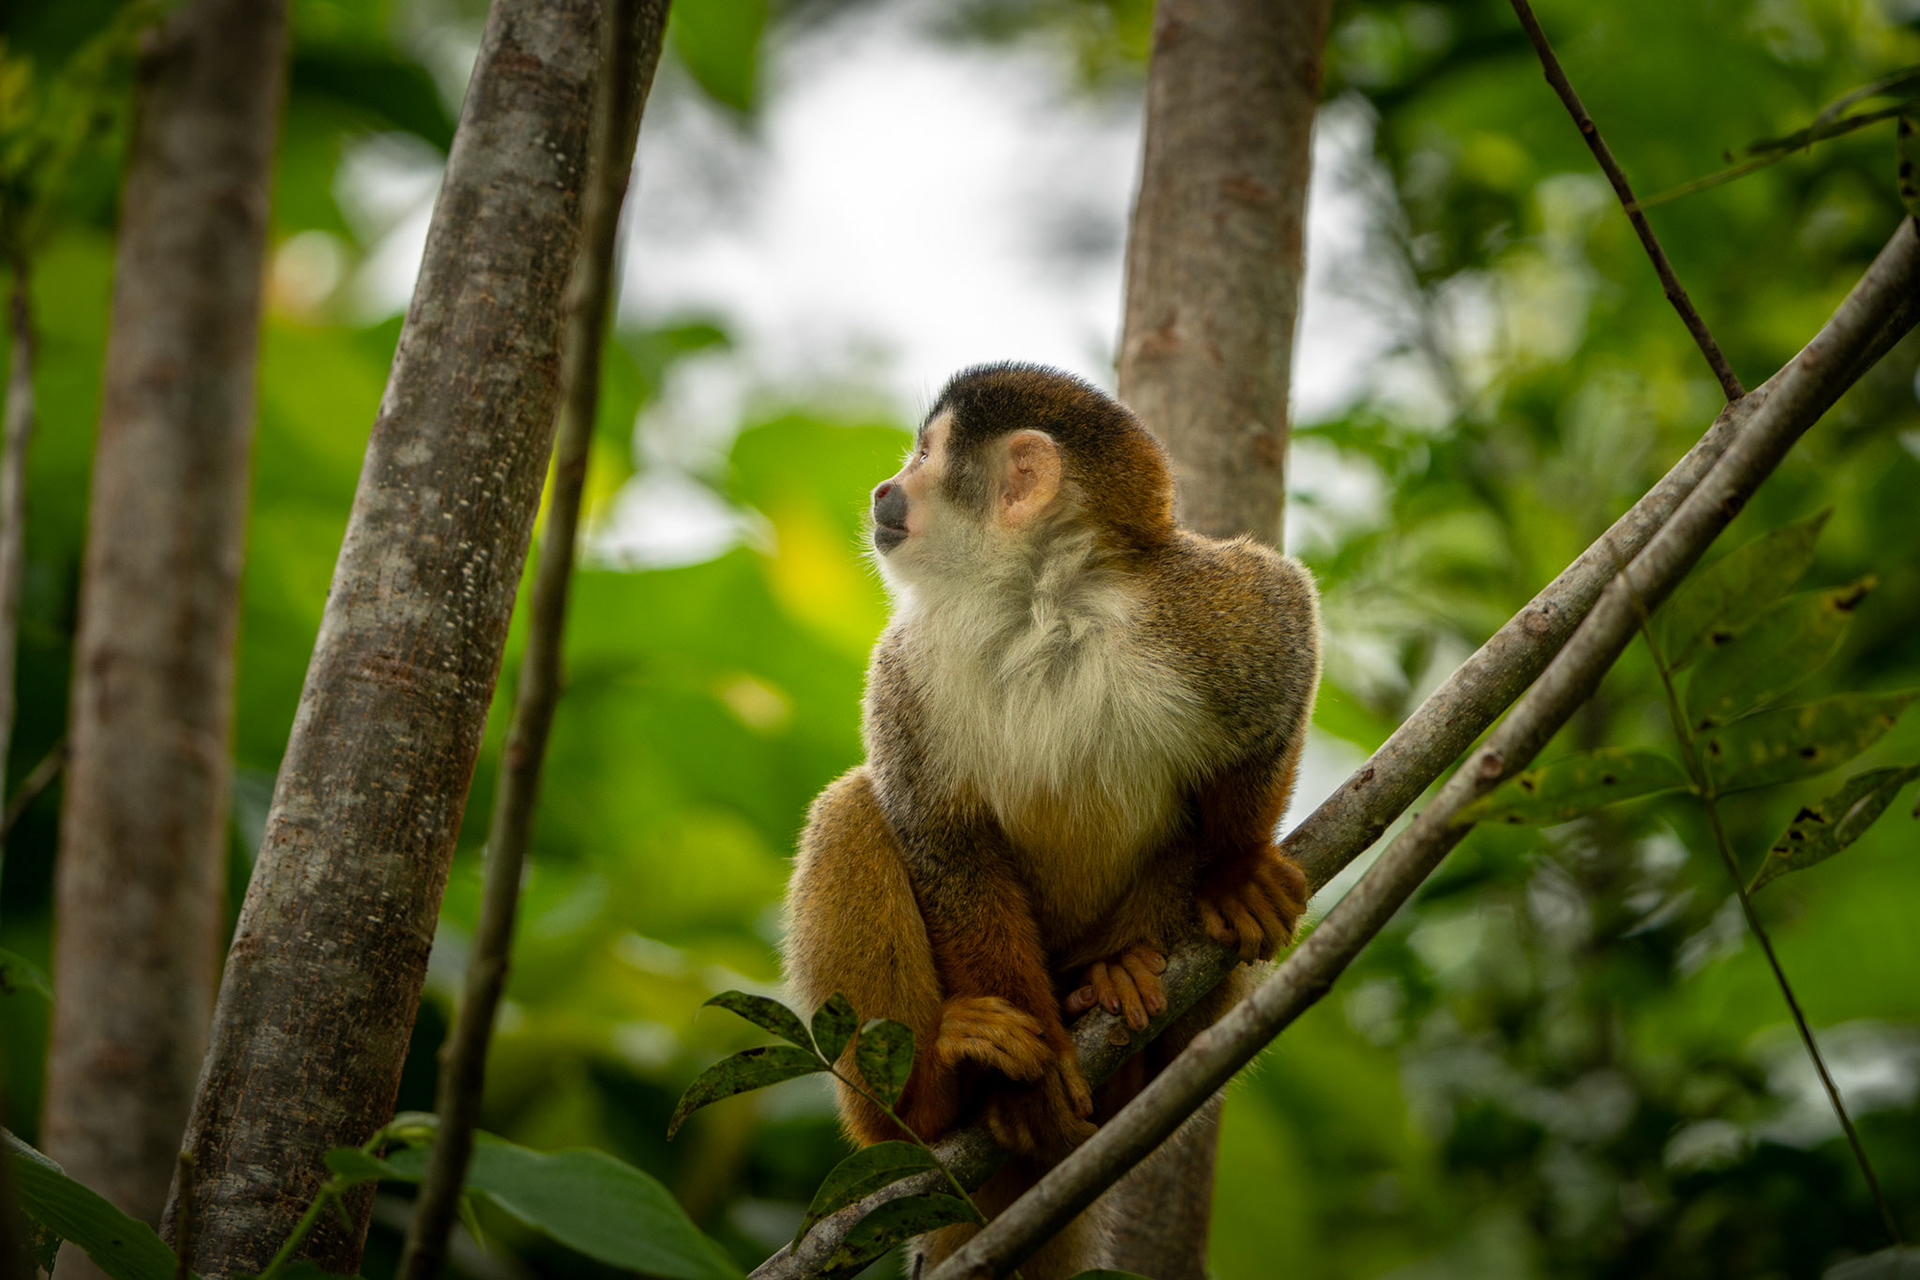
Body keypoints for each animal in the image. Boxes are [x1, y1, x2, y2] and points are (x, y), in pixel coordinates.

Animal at [783, 362, 1320, 1278]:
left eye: (923, 457)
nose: (883, 490)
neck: (1038, 607)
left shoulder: (1188, 609)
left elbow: (1285, 637)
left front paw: (1238, 865)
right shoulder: (904, 663)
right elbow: (944, 838)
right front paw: (1029, 1085)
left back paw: (1123, 997)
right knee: (854, 808)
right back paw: (931, 1097)